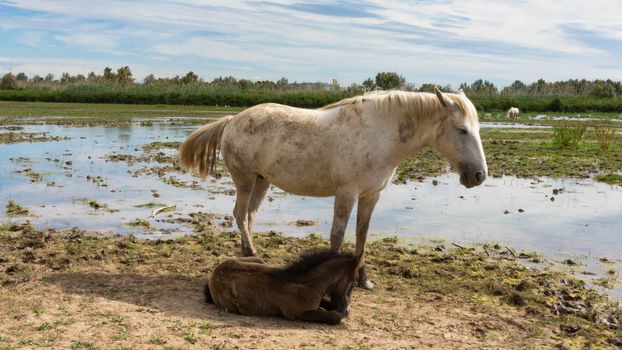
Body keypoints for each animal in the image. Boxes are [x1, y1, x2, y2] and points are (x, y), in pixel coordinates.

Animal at [183, 88, 490, 290]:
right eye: (461, 130)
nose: (479, 175)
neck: (379, 135)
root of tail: (233, 120)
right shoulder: (346, 193)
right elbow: (337, 235)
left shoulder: (370, 195)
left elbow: (361, 235)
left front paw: (364, 279)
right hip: (245, 180)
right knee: (239, 213)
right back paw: (249, 254)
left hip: (262, 181)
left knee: (248, 216)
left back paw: (252, 255)